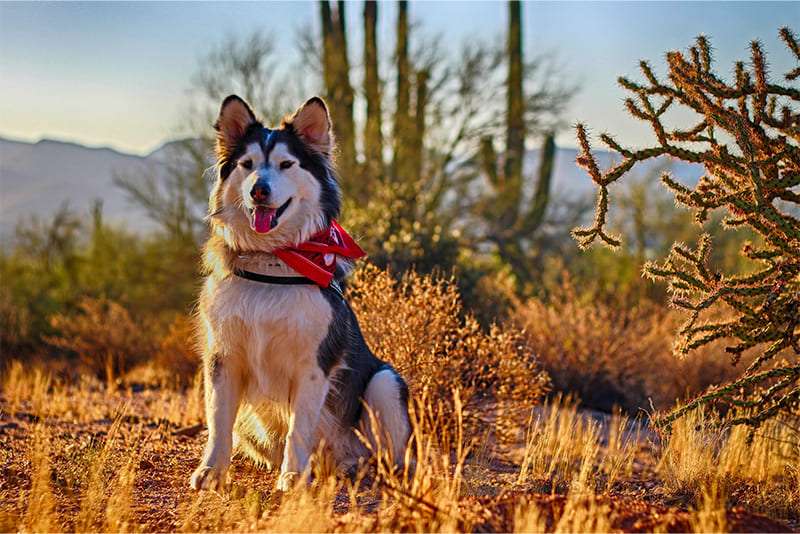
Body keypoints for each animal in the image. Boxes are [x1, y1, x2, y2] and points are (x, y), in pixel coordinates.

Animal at [190, 94, 410, 492]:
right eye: (247, 165)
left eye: (286, 164)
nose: (259, 189)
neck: (271, 263)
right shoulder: (222, 359)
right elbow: (218, 423)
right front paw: (211, 470)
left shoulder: (312, 366)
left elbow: (298, 430)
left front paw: (292, 476)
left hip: (385, 383)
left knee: (390, 456)